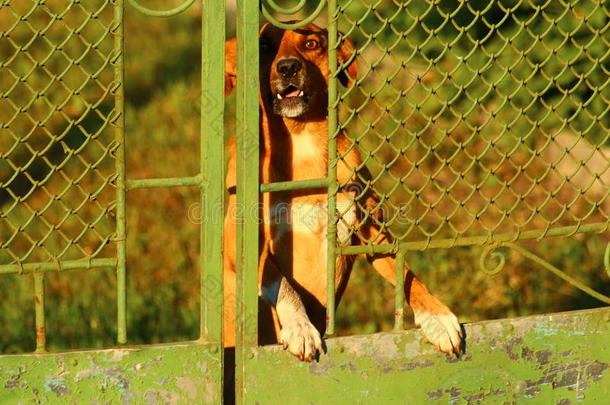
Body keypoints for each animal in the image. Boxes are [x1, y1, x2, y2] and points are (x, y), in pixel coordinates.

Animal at [221, 23, 458, 362]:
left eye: (311, 43)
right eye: (264, 46)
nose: (288, 67)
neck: (302, 141)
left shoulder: (373, 235)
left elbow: (407, 275)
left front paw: (438, 317)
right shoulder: (244, 251)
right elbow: (285, 287)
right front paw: (300, 327)